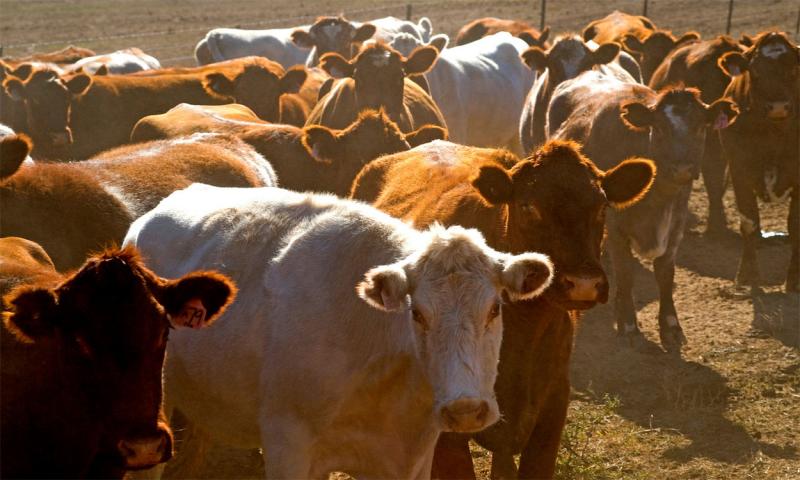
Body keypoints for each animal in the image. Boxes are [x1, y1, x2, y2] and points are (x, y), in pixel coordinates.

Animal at [548, 71, 738, 350]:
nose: (682, 169)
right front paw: (628, 326)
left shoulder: (675, 224)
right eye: (658, 127)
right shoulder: (615, 229)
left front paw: (670, 326)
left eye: (701, 126)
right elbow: (626, 273)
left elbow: (665, 274)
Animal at [716, 32, 800, 292]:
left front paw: (794, 280)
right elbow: (750, 223)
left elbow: (795, 226)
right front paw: (747, 276)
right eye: (755, 71)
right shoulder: (739, 169)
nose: (778, 107)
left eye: (794, 69)